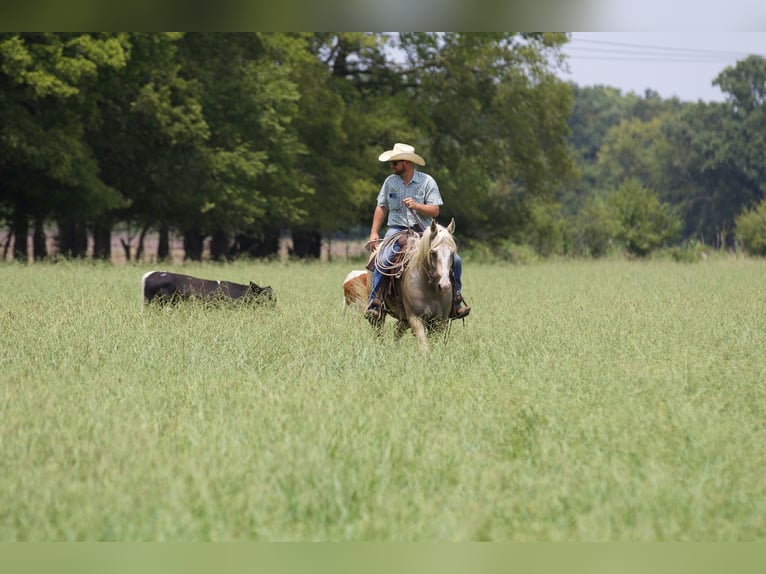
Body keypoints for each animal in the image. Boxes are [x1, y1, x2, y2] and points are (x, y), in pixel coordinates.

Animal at [370, 218, 460, 348]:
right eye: (433, 253)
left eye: (452, 253)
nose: (444, 286)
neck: (430, 289)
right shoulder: (416, 319)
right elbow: (424, 347)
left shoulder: (440, 321)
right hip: (380, 312)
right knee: (378, 328)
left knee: (397, 330)